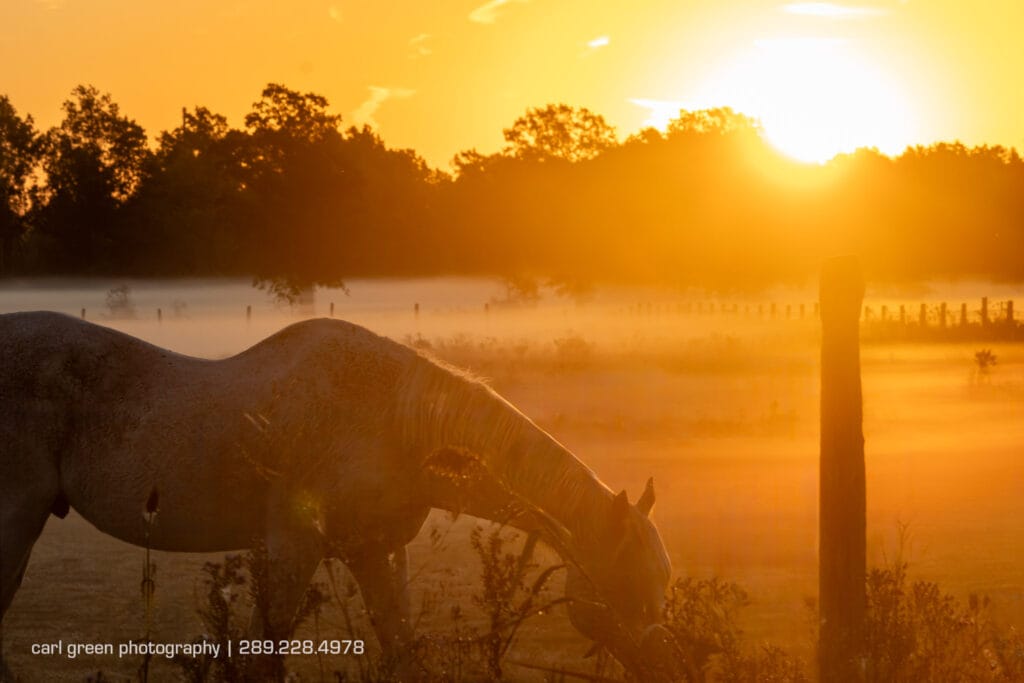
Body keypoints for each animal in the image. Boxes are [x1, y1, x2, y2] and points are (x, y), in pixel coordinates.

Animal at [0, 311, 674, 678]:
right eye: (628, 587)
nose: (663, 662)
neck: (398, 422)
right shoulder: (292, 550)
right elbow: (262, 659)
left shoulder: (374, 554)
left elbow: (403, 654)